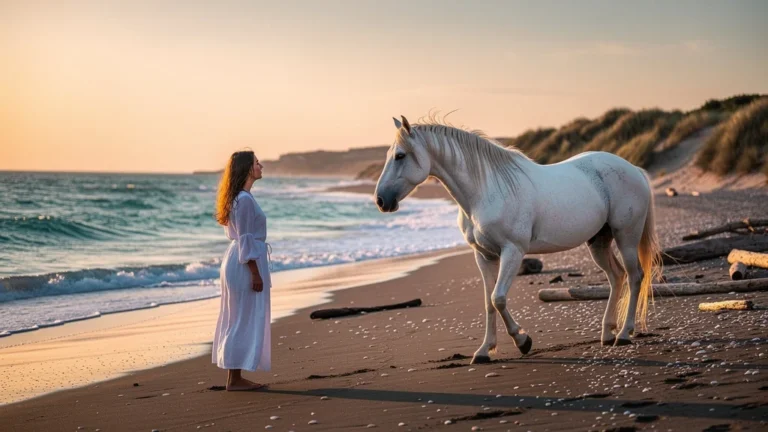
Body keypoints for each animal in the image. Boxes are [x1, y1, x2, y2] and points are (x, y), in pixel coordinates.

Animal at [374, 115, 662, 364]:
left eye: (400, 156)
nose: (380, 200)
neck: (486, 190)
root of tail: (633, 169)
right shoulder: (484, 256)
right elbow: (488, 302)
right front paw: (484, 351)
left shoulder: (512, 251)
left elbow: (498, 298)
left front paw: (523, 342)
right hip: (599, 242)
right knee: (617, 277)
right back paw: (607, 333)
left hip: (626, 237)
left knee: (634, 277)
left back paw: (623, 334)